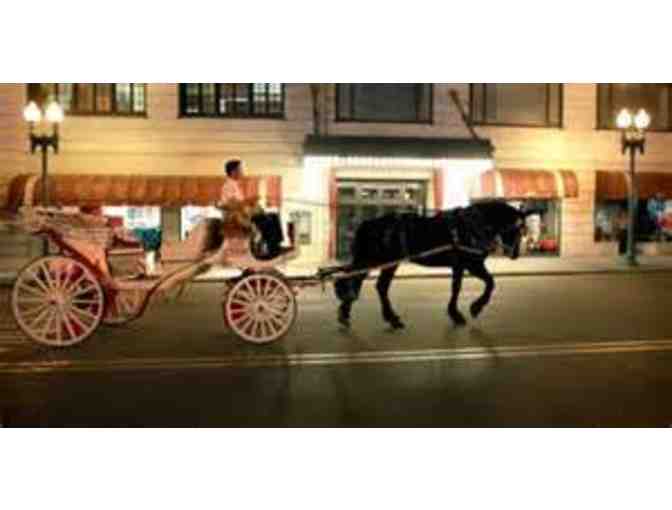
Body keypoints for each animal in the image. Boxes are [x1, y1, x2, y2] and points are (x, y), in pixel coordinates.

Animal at [333, 201, 530, 329]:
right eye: (518, 228)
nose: (515, 254)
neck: (474, 225)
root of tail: (369, 223)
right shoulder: (473, 264)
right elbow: (490, 282)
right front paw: (476, 307)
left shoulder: (459, 265)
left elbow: (456, 288)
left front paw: (455, 313)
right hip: (381, 261)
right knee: (367, 283)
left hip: (381, 262)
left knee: (365, 282)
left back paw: (353, 313)